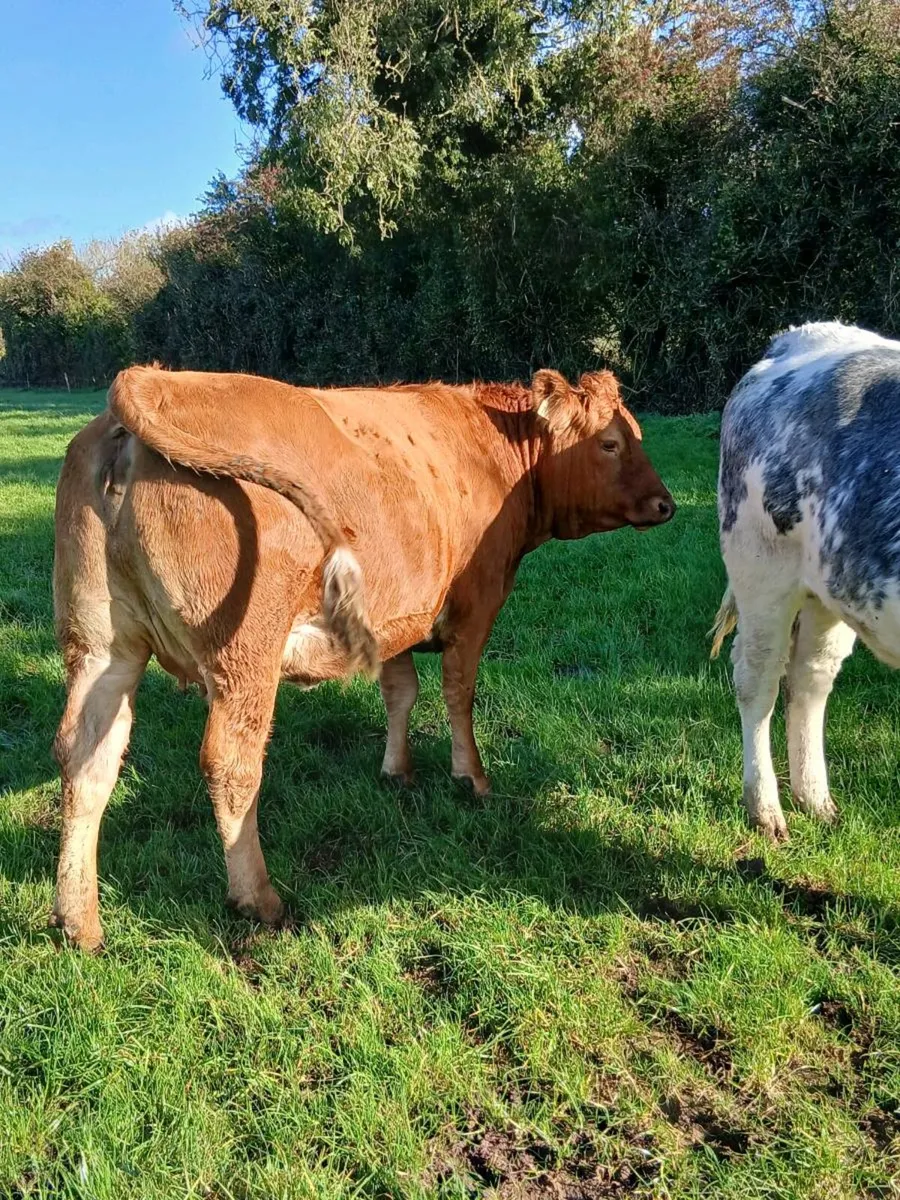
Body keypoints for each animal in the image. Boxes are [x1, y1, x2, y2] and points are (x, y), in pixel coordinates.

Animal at [52, 365, 674, 949]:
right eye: (610, 442)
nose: (666, 504)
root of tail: (157, 380)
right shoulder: (476, 608)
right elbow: (459, 693)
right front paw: (472, 779)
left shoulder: (390, 618)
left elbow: (401, 693)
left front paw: (397, 772)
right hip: (244, 657)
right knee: (231, 766)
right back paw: (259, 900)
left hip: (102, 648)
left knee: (85, 759)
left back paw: (78, 920)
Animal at [712, 321, 900, 840]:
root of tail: (803, 333)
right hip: (761, 567)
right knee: (758, 679)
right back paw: (766, 811)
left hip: (831, 589)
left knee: (810, 677)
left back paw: (815, 800)